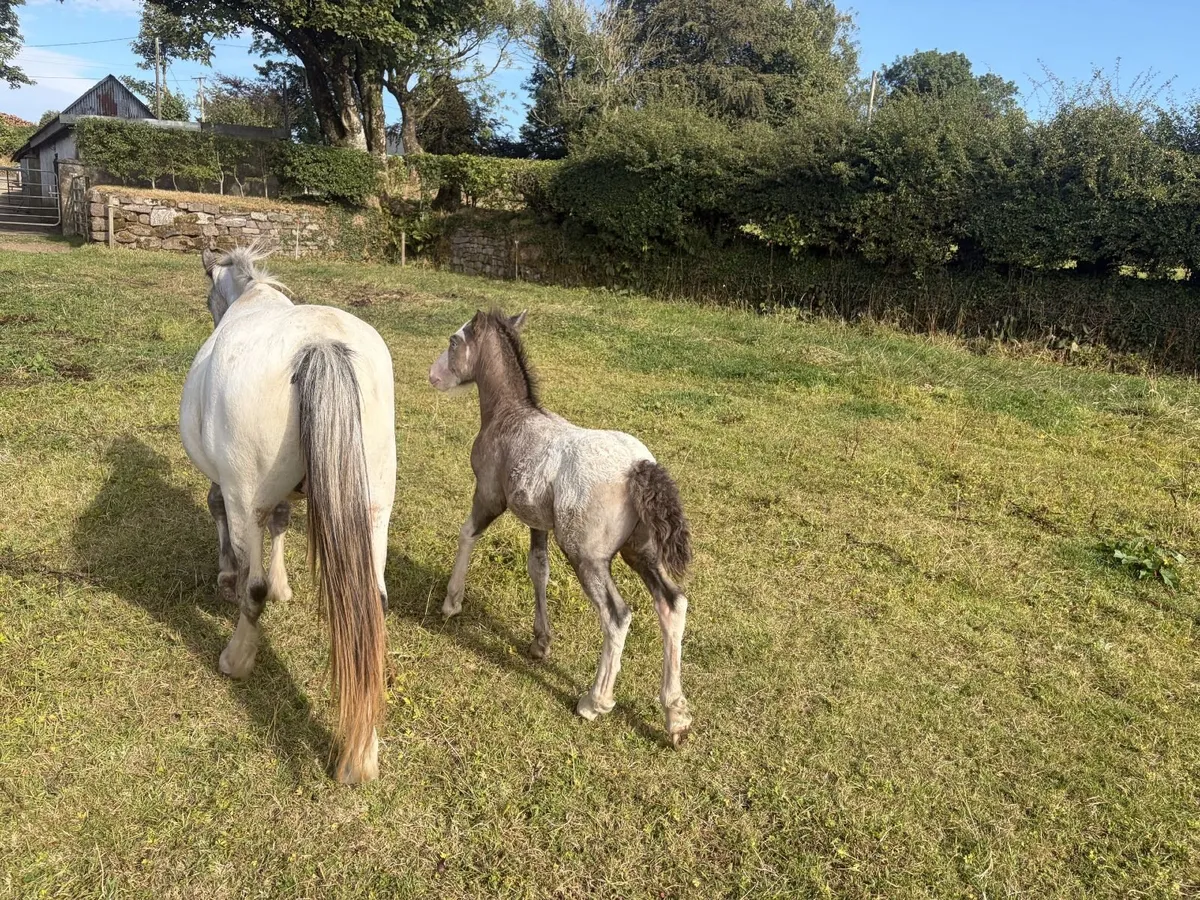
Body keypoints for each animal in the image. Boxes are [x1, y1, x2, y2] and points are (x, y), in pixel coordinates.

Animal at [179, 245, 397, 783]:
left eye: (208, 298)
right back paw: (362, 755)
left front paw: (229, 575)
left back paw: (237, 657)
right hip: (375, 510)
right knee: (375, 601)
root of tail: (320, 345)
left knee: (251, 587)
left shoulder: (228, 487)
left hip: (245, 492)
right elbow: (279, 523)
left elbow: (222, 516)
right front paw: (283, 583)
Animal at [428, 309, 694, 747]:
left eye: (454, 341)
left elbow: (467, 534)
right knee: (672, 603)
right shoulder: (537, 520)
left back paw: (595, 701)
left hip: (587, 557)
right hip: (641, 551)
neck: (511, 415)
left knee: (617, 616)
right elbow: (538, 569)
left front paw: (452, 601)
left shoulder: (489, 497)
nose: (433, 376)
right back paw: (675, 715)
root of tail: (639, 467)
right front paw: (540, 642)